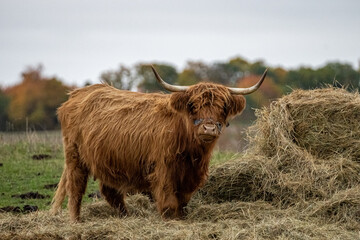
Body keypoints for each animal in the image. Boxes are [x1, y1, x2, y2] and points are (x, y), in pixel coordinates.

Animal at [51, 65, 268, 221]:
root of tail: (78, 93)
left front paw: (181, 218)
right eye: (193, 106)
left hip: (107, 159)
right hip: (75, 156)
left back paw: (126, 217)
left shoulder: (190, 176)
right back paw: (76, 221)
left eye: (223, 108)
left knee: (110, 192)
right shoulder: (163, 170)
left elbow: (182, 202)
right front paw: (169, 221)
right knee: (76, 189)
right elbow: (169, 203)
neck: (191, 152)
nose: (208, 128)